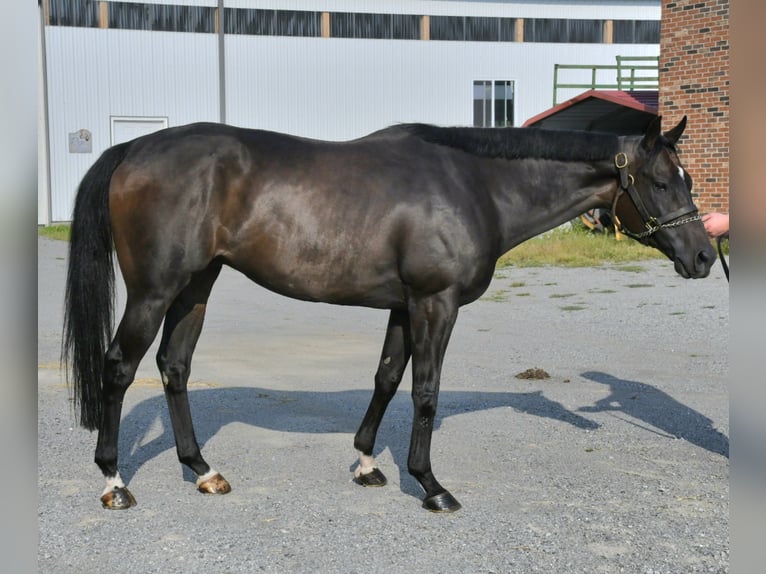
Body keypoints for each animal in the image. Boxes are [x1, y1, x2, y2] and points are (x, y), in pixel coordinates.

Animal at [63, 117, 716, 512]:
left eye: (686, 177)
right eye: (662, 182)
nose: (706, 256)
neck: (475, 186)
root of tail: (134, 148)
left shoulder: (403, 307)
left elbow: (386, 377)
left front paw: (367, 465)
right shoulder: (435, 303)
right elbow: (425, 390)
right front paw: (430, 486)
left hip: (196, 285)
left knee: (174, 366)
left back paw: (202, 470)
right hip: (154, 291)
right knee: (120, 367)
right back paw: (114, 482)